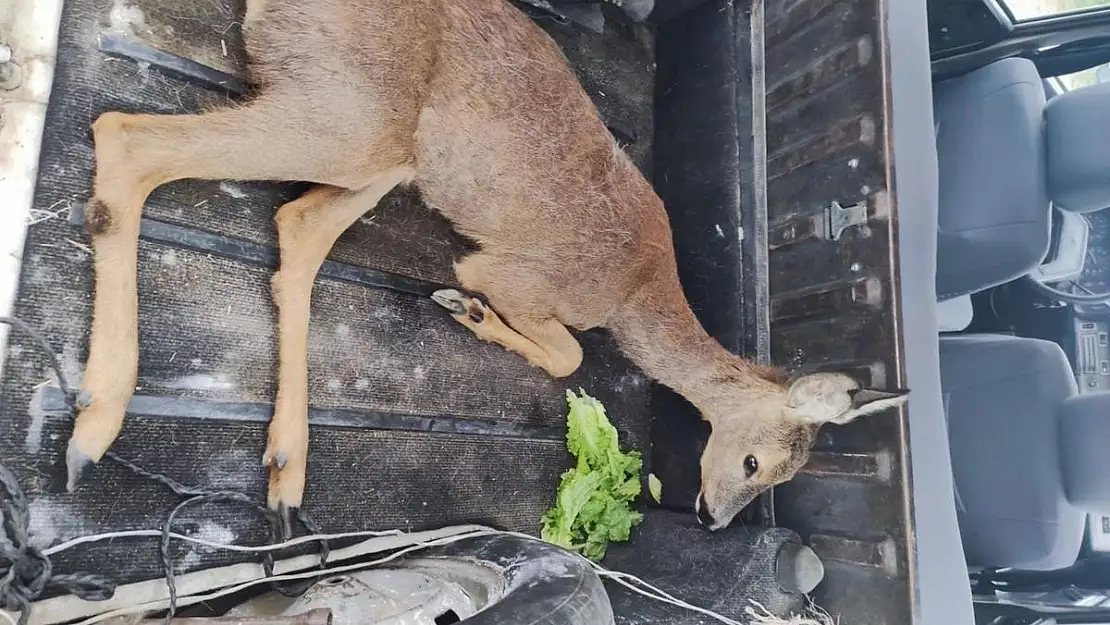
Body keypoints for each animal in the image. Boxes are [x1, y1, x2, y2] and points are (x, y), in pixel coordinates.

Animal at [69, 0, 914, 535]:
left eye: (780, 479)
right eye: (753, 460)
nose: (711, 518)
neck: (637, 288)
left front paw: (465, 313)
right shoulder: (513, 272)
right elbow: (567, 351)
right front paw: (472, 310)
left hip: (387, 150)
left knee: (294, 227)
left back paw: (286, 472)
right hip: (349, 117)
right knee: (124, 134)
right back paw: (91, 428)